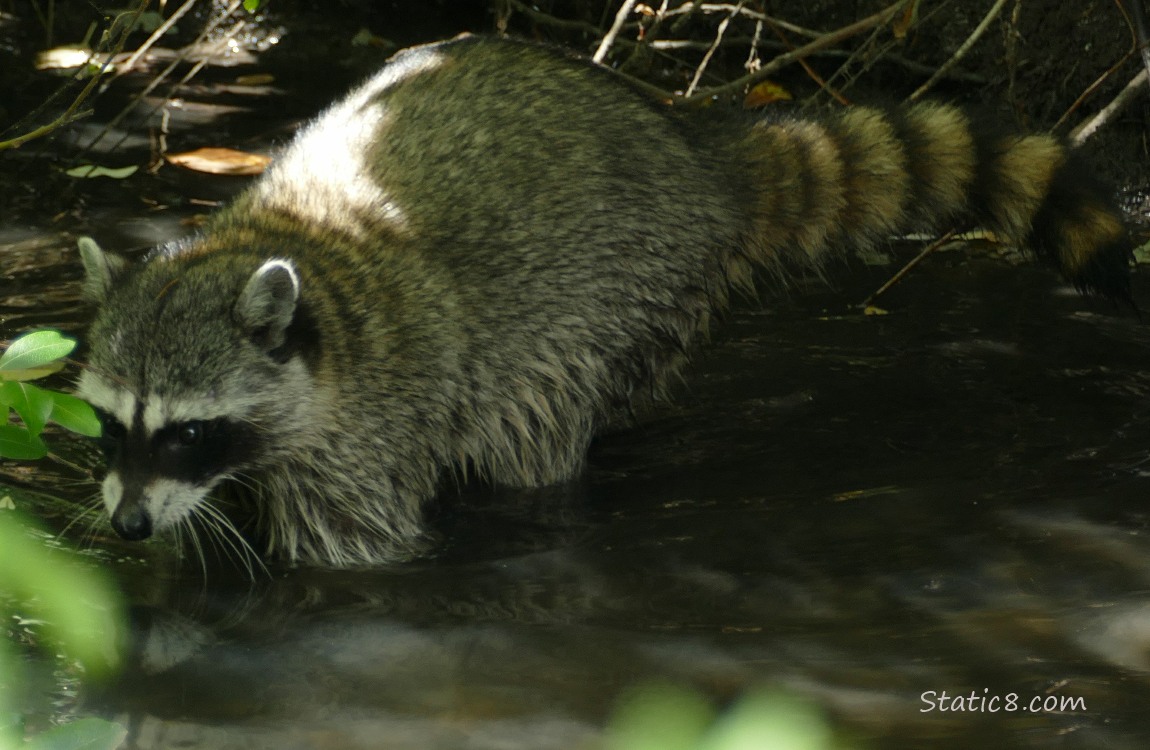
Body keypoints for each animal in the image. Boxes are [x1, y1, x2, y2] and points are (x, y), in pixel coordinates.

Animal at [76, 35, 1131, 567]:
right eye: (113, 425)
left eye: (188, 430)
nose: (124, 529)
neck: (279, 250)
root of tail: (689, 150)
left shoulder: (371, 423)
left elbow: (349, 551)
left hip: (619, 283)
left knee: (535, 422)